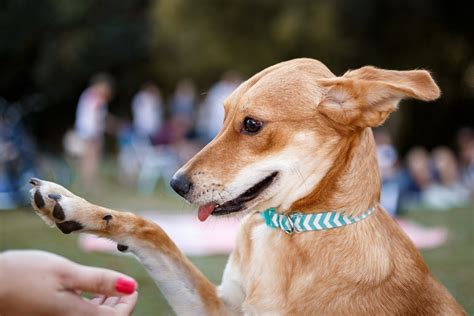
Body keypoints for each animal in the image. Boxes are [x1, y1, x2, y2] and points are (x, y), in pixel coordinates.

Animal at [30, 58, 466, 314]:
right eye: (222, 117)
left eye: (252, 124)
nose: (175, 183)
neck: (290, 235)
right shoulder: (219, 307)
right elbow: (153, 231)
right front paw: (77, 208)